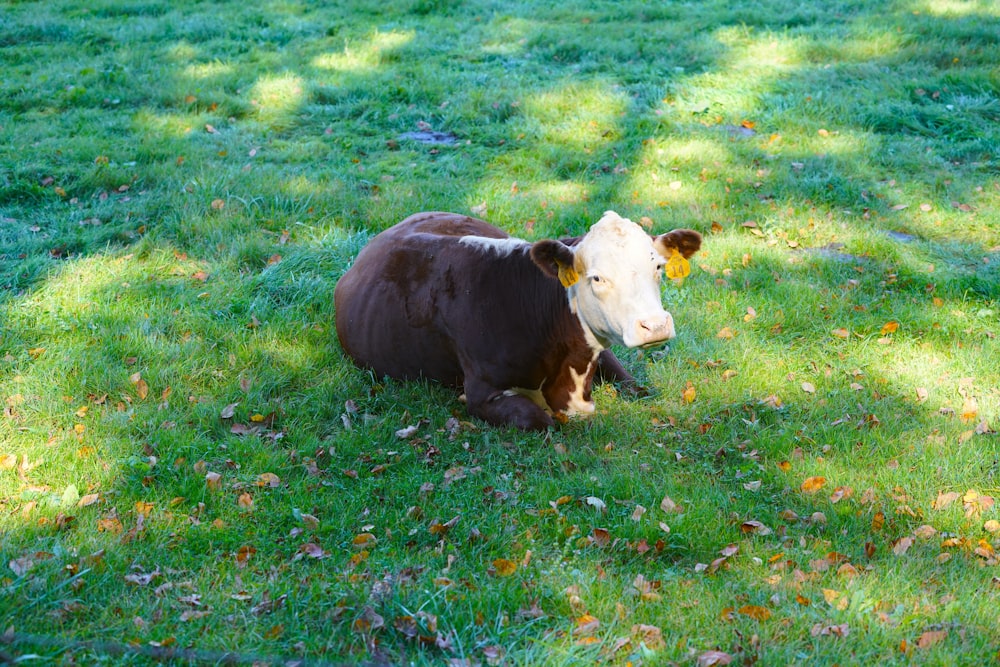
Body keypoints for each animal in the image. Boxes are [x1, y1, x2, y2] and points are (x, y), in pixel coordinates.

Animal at [332, 210, 700, 434]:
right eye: (597, 277)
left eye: (657, 267)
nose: (654, 325)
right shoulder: (482, 390)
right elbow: (540, 419)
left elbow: (634, 385)